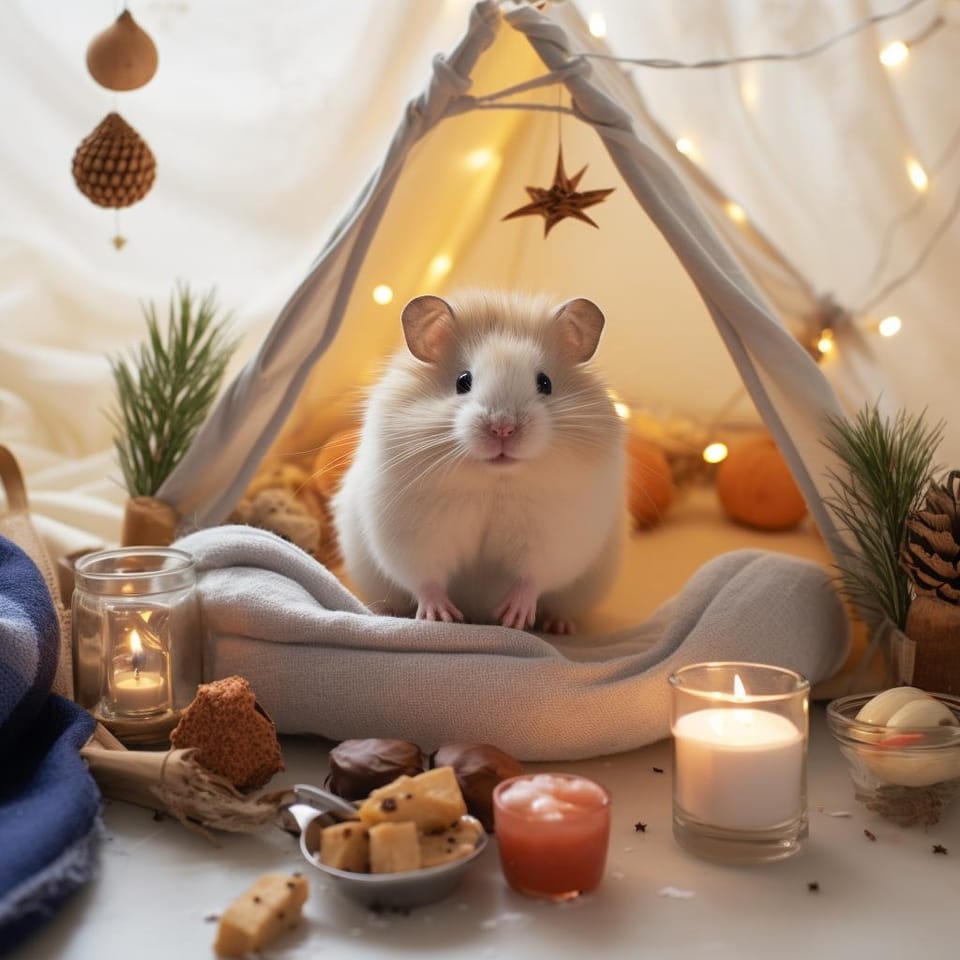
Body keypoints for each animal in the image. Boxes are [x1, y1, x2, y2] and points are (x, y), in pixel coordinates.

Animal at [331, 289, 626, 634]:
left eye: (545, 383)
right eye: (463, 381)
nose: (503, 428)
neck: (494, 480)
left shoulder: (552, 537)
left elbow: (531, 578)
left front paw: (512, 618)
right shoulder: (415, 535)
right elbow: (426, 579)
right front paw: (442, 616)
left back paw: (558, 625)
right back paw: (385, 612)